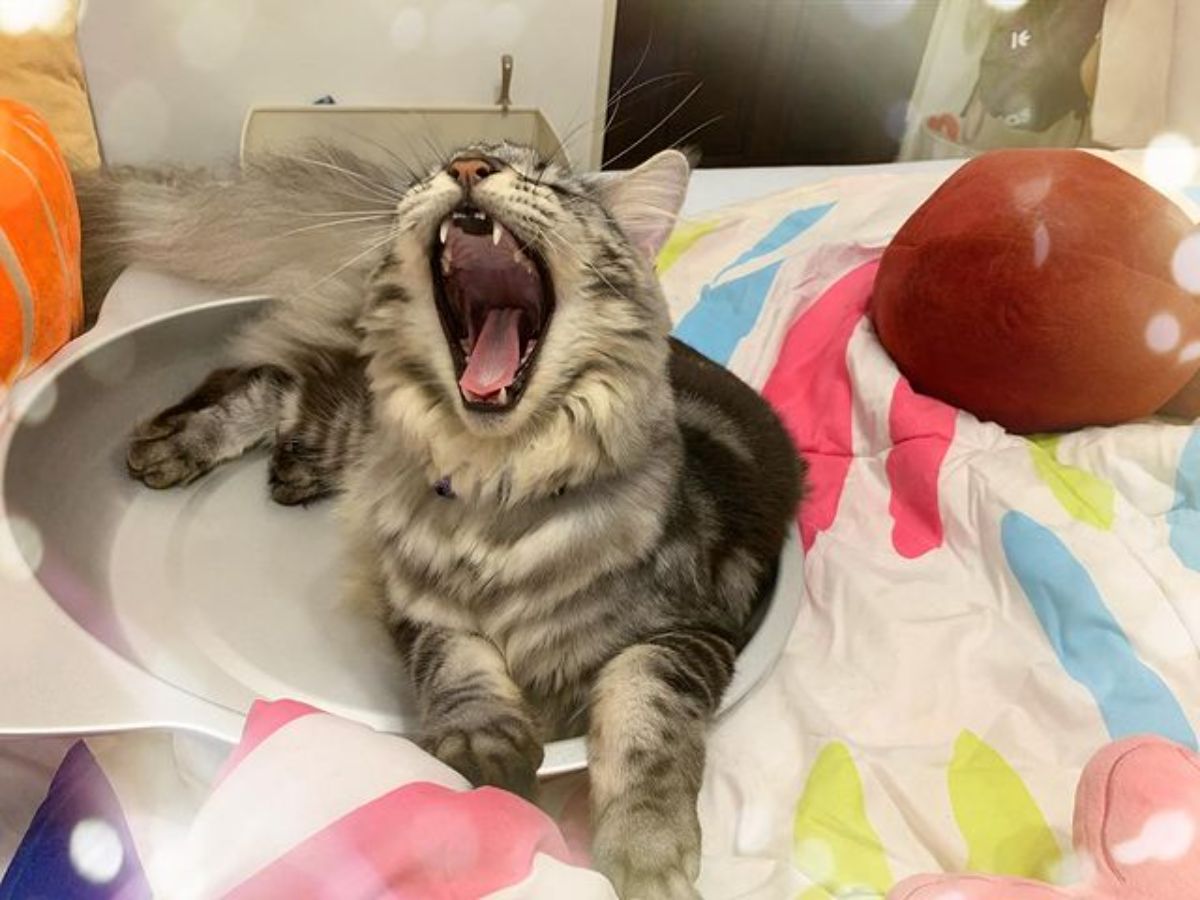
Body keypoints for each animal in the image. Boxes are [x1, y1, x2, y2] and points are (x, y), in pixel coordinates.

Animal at [77, 144, 806, 897]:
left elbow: (646, 721)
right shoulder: (417, 605)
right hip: (356, 426)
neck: (497, 496)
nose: (469, 164)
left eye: (555, 183)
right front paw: (486, 755)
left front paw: (646, 854)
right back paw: (183, 445)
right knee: (281, 382)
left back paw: (281, 467)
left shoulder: (689, 631)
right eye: (454, 161)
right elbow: (459, 663)